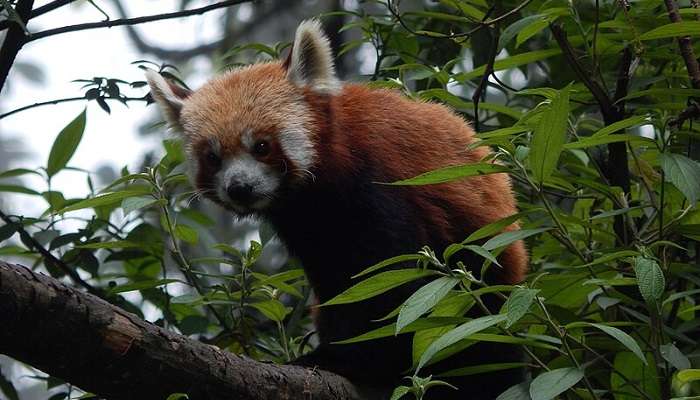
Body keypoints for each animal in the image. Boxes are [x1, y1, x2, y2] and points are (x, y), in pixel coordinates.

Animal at [149, 18, 532, 396]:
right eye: (213, 157)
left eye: (261, 146)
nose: (239, 187)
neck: (317, 191)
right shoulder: (308, 228)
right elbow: (338, 285)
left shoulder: (379, 184)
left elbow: (394, 277)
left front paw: (352, 360)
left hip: (487, 280)